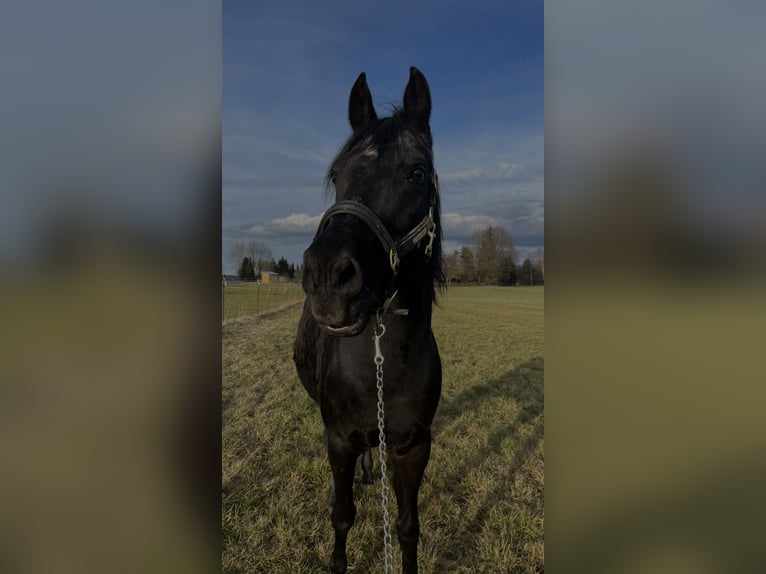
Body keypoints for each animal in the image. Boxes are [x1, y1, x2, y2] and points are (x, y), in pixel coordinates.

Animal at [296, 68, 450, 574]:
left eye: (416, 172)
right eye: (337, 175)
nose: (327, 277)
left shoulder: (413, 447)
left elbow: (407, 527)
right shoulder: (339, 441)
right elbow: (342, 516)